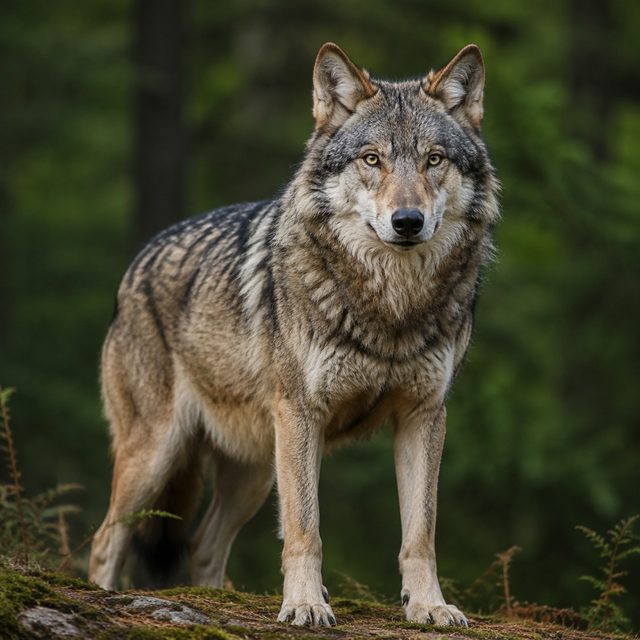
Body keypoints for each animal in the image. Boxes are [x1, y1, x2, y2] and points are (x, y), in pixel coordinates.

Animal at [89, 42, 499, 628]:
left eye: (434, 160)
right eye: (371, 159)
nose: (407, 220)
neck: (391, 307)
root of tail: (136, 266)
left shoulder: (423, 416)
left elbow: (420, 533)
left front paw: (429, 607)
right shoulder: (302, 413)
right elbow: (306, 528)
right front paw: (305, 604)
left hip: (254, 472)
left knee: (203, 545)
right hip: (159, 455)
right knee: (106, 539)